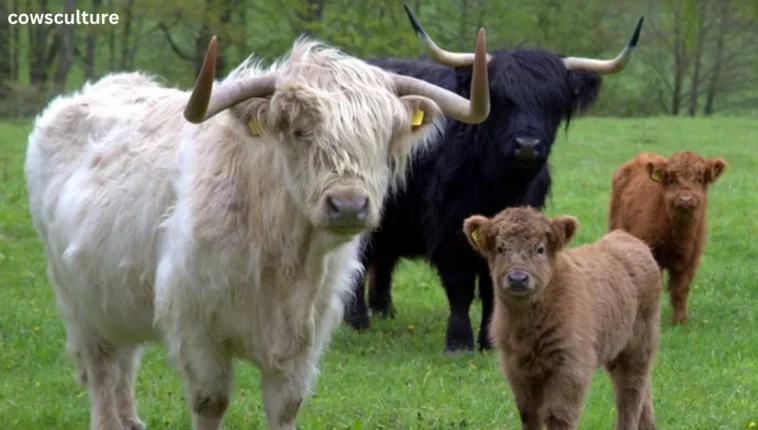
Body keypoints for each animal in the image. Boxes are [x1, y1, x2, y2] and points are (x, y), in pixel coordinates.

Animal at [346, 4, 648, 352]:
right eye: (500, 99)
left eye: (555, 102)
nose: (527, 145)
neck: (498, 184)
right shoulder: (449, 227)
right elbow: (460, 284)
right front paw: (459, 342)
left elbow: (495, 284)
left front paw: (490, 341)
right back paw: (357, 320)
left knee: (382, 259)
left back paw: (384, 310)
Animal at [464, 207, 660, 428]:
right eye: (500, 248)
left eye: (540, 249)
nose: (517, 279)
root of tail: (628, 239)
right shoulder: (516, 367)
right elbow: (529, 414)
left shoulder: (571, 366)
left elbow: (558, 415)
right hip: (617, 349)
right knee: (643, 393)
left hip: (639, 346)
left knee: (630, 393)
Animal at [608, 150, 728, 322]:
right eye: (671, 179)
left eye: (699, 179)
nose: (685, 200)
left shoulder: (691, 259)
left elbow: (681, 289)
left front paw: (680, 320)